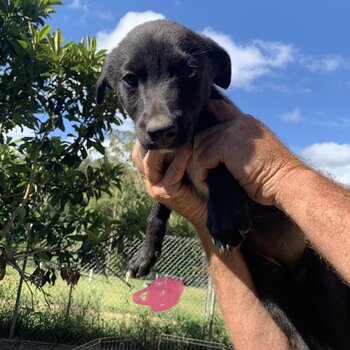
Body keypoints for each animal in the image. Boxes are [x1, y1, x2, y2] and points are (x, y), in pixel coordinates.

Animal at [97, 19, 350, 350]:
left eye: (190, 71)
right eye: (129, 79)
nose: (161, 131)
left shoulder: (223, 133)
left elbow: (220, 165)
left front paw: (225, 219)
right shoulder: (161, 169)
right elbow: (156, 212)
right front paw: (145, 254)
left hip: (327, 292)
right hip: (272, 292)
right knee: (299, 340)